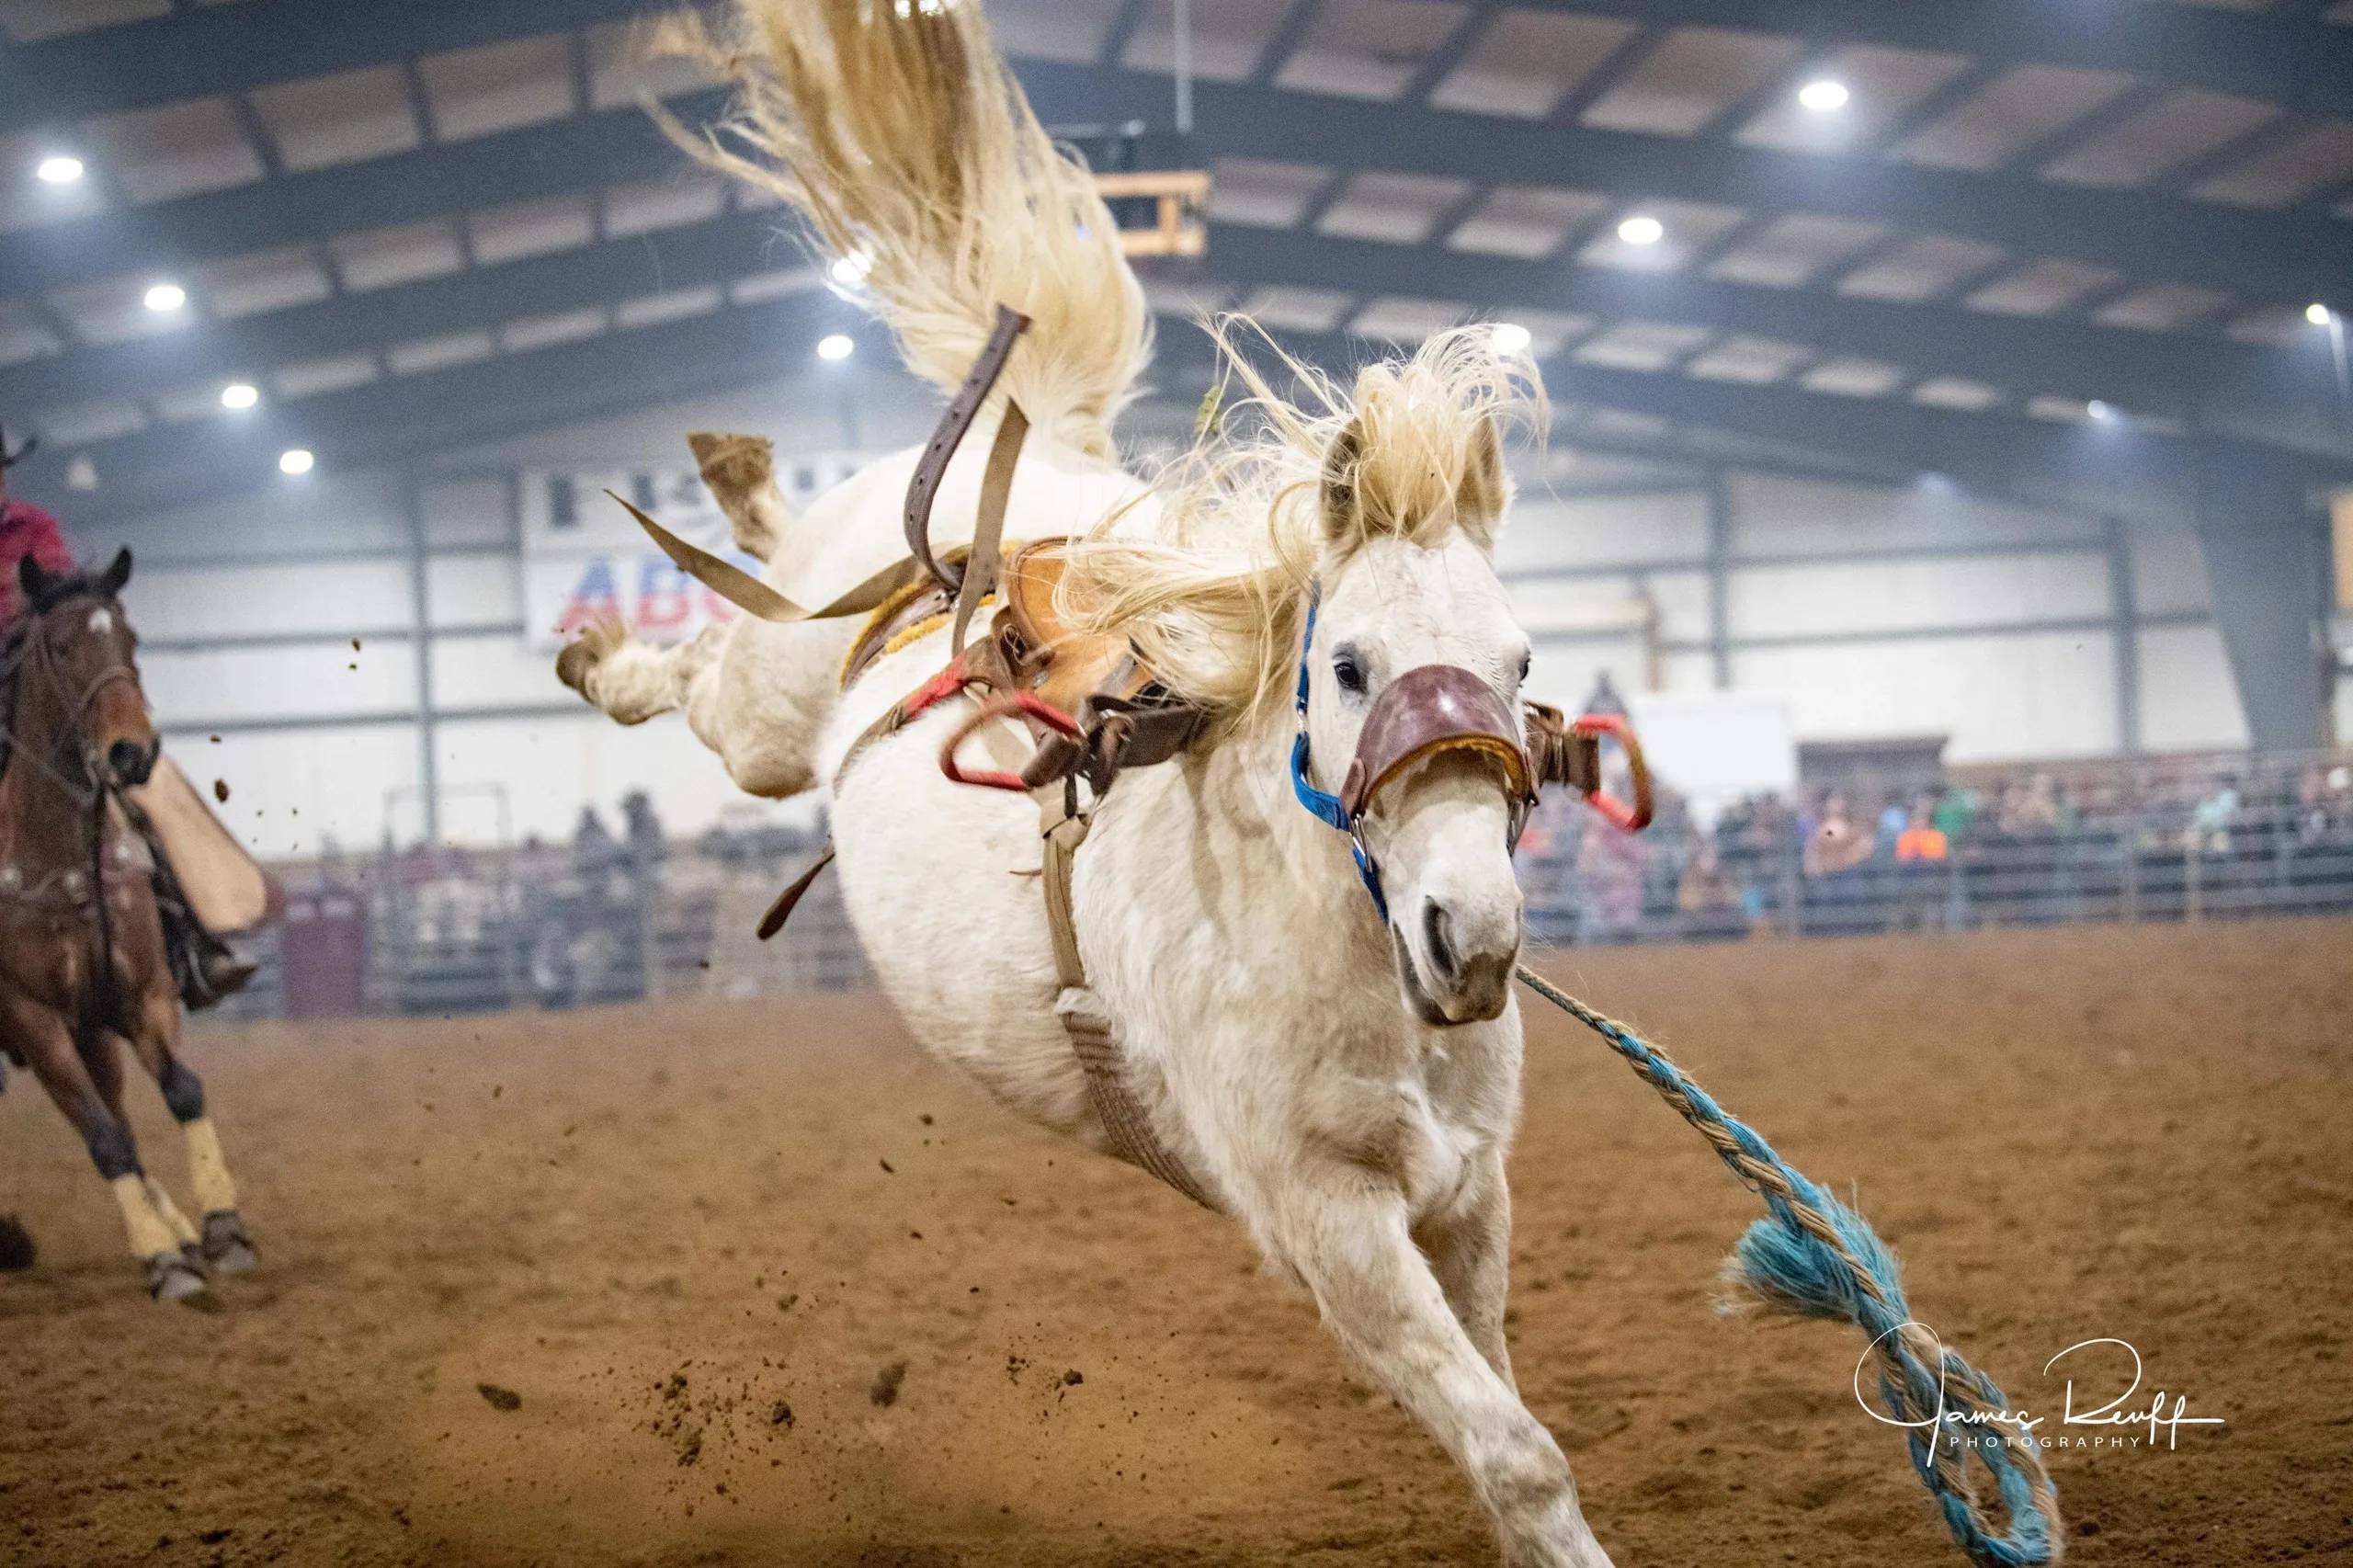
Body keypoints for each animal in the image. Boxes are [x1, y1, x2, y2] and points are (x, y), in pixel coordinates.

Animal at [0, 550, 257, 1303]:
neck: (61, 858)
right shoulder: (31, 1018)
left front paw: (218, 1227)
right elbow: (103, 1139)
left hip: (94, 1032)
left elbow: (179, 1092)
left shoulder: (140, 994)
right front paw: (163, 1259)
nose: (129, 754)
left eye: (129, 638)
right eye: (59, 646)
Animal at [558, 2, 1614, 1561]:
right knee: (708, 667)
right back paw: (629, 615)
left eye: (1520, 656)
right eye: (1350, 662)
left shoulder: (1470, 1198)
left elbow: (1511, 1430)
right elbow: (1517, 1448)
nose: (1471, 938)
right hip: (764, 710)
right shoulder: (1327, 1221)